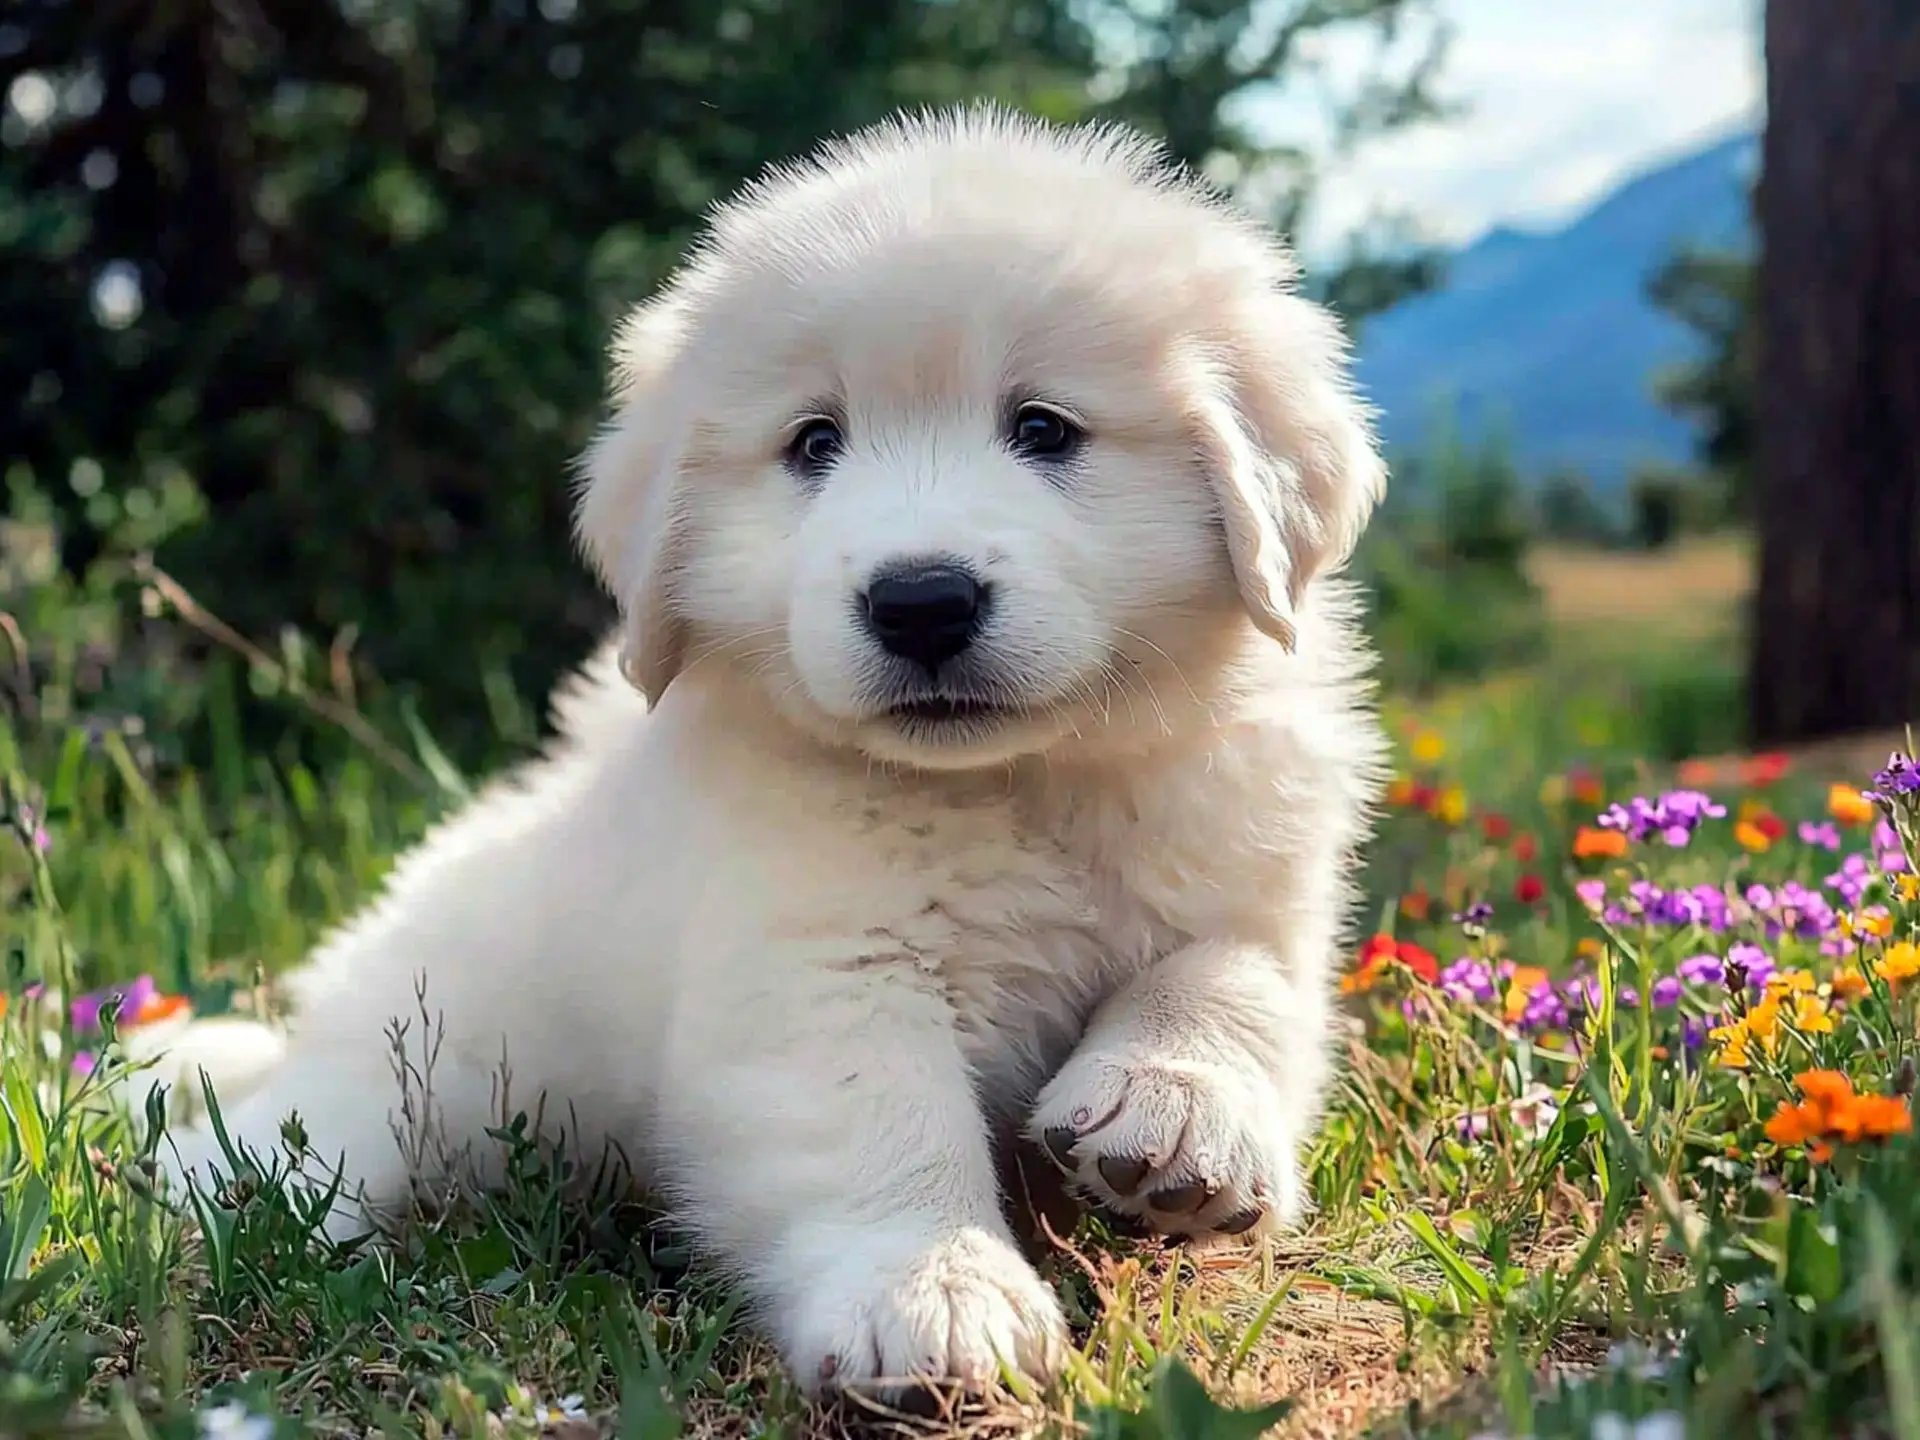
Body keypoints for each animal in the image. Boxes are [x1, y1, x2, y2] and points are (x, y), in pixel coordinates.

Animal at [157, 107, 1390, 1405]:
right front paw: (934, 1293)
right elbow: (881, 1125)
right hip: (411, 1069)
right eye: (814, 444)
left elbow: (1233, 980)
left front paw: (1173, 1115)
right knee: (307, 1139)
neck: (1014, 783)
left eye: (1044, 430)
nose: (921, 601)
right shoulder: (815, 966)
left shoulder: (1260, 879)